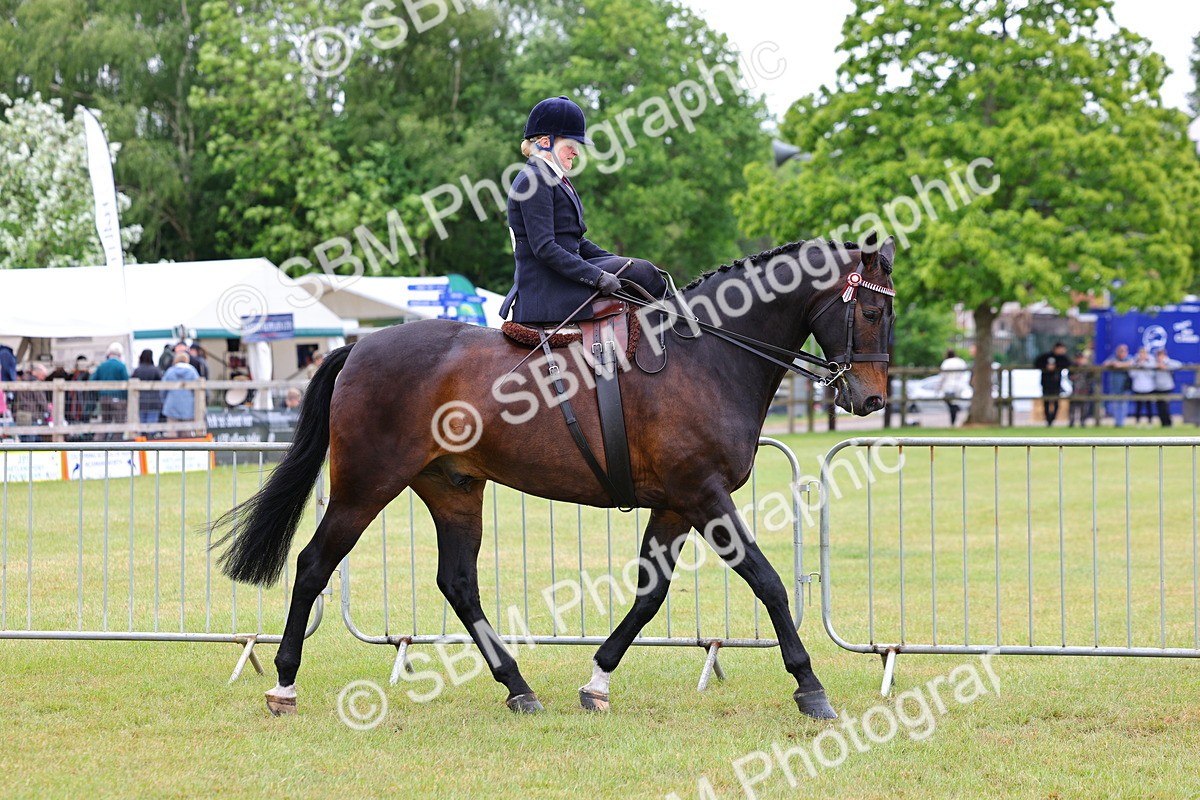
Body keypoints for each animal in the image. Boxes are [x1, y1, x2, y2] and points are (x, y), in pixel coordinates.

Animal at [215, 235, 897, 719]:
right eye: (869, 310)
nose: (870, 400)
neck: (707, 353)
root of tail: (359, 346)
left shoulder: (677, 505)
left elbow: (649, 595)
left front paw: (598, 680)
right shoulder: (704, 495)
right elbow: (769, 582)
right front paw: (810, 688)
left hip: (452, 488)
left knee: (458, 583)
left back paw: (517, 686)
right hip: (365, 486)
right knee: (313, 565)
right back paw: (284, 683)